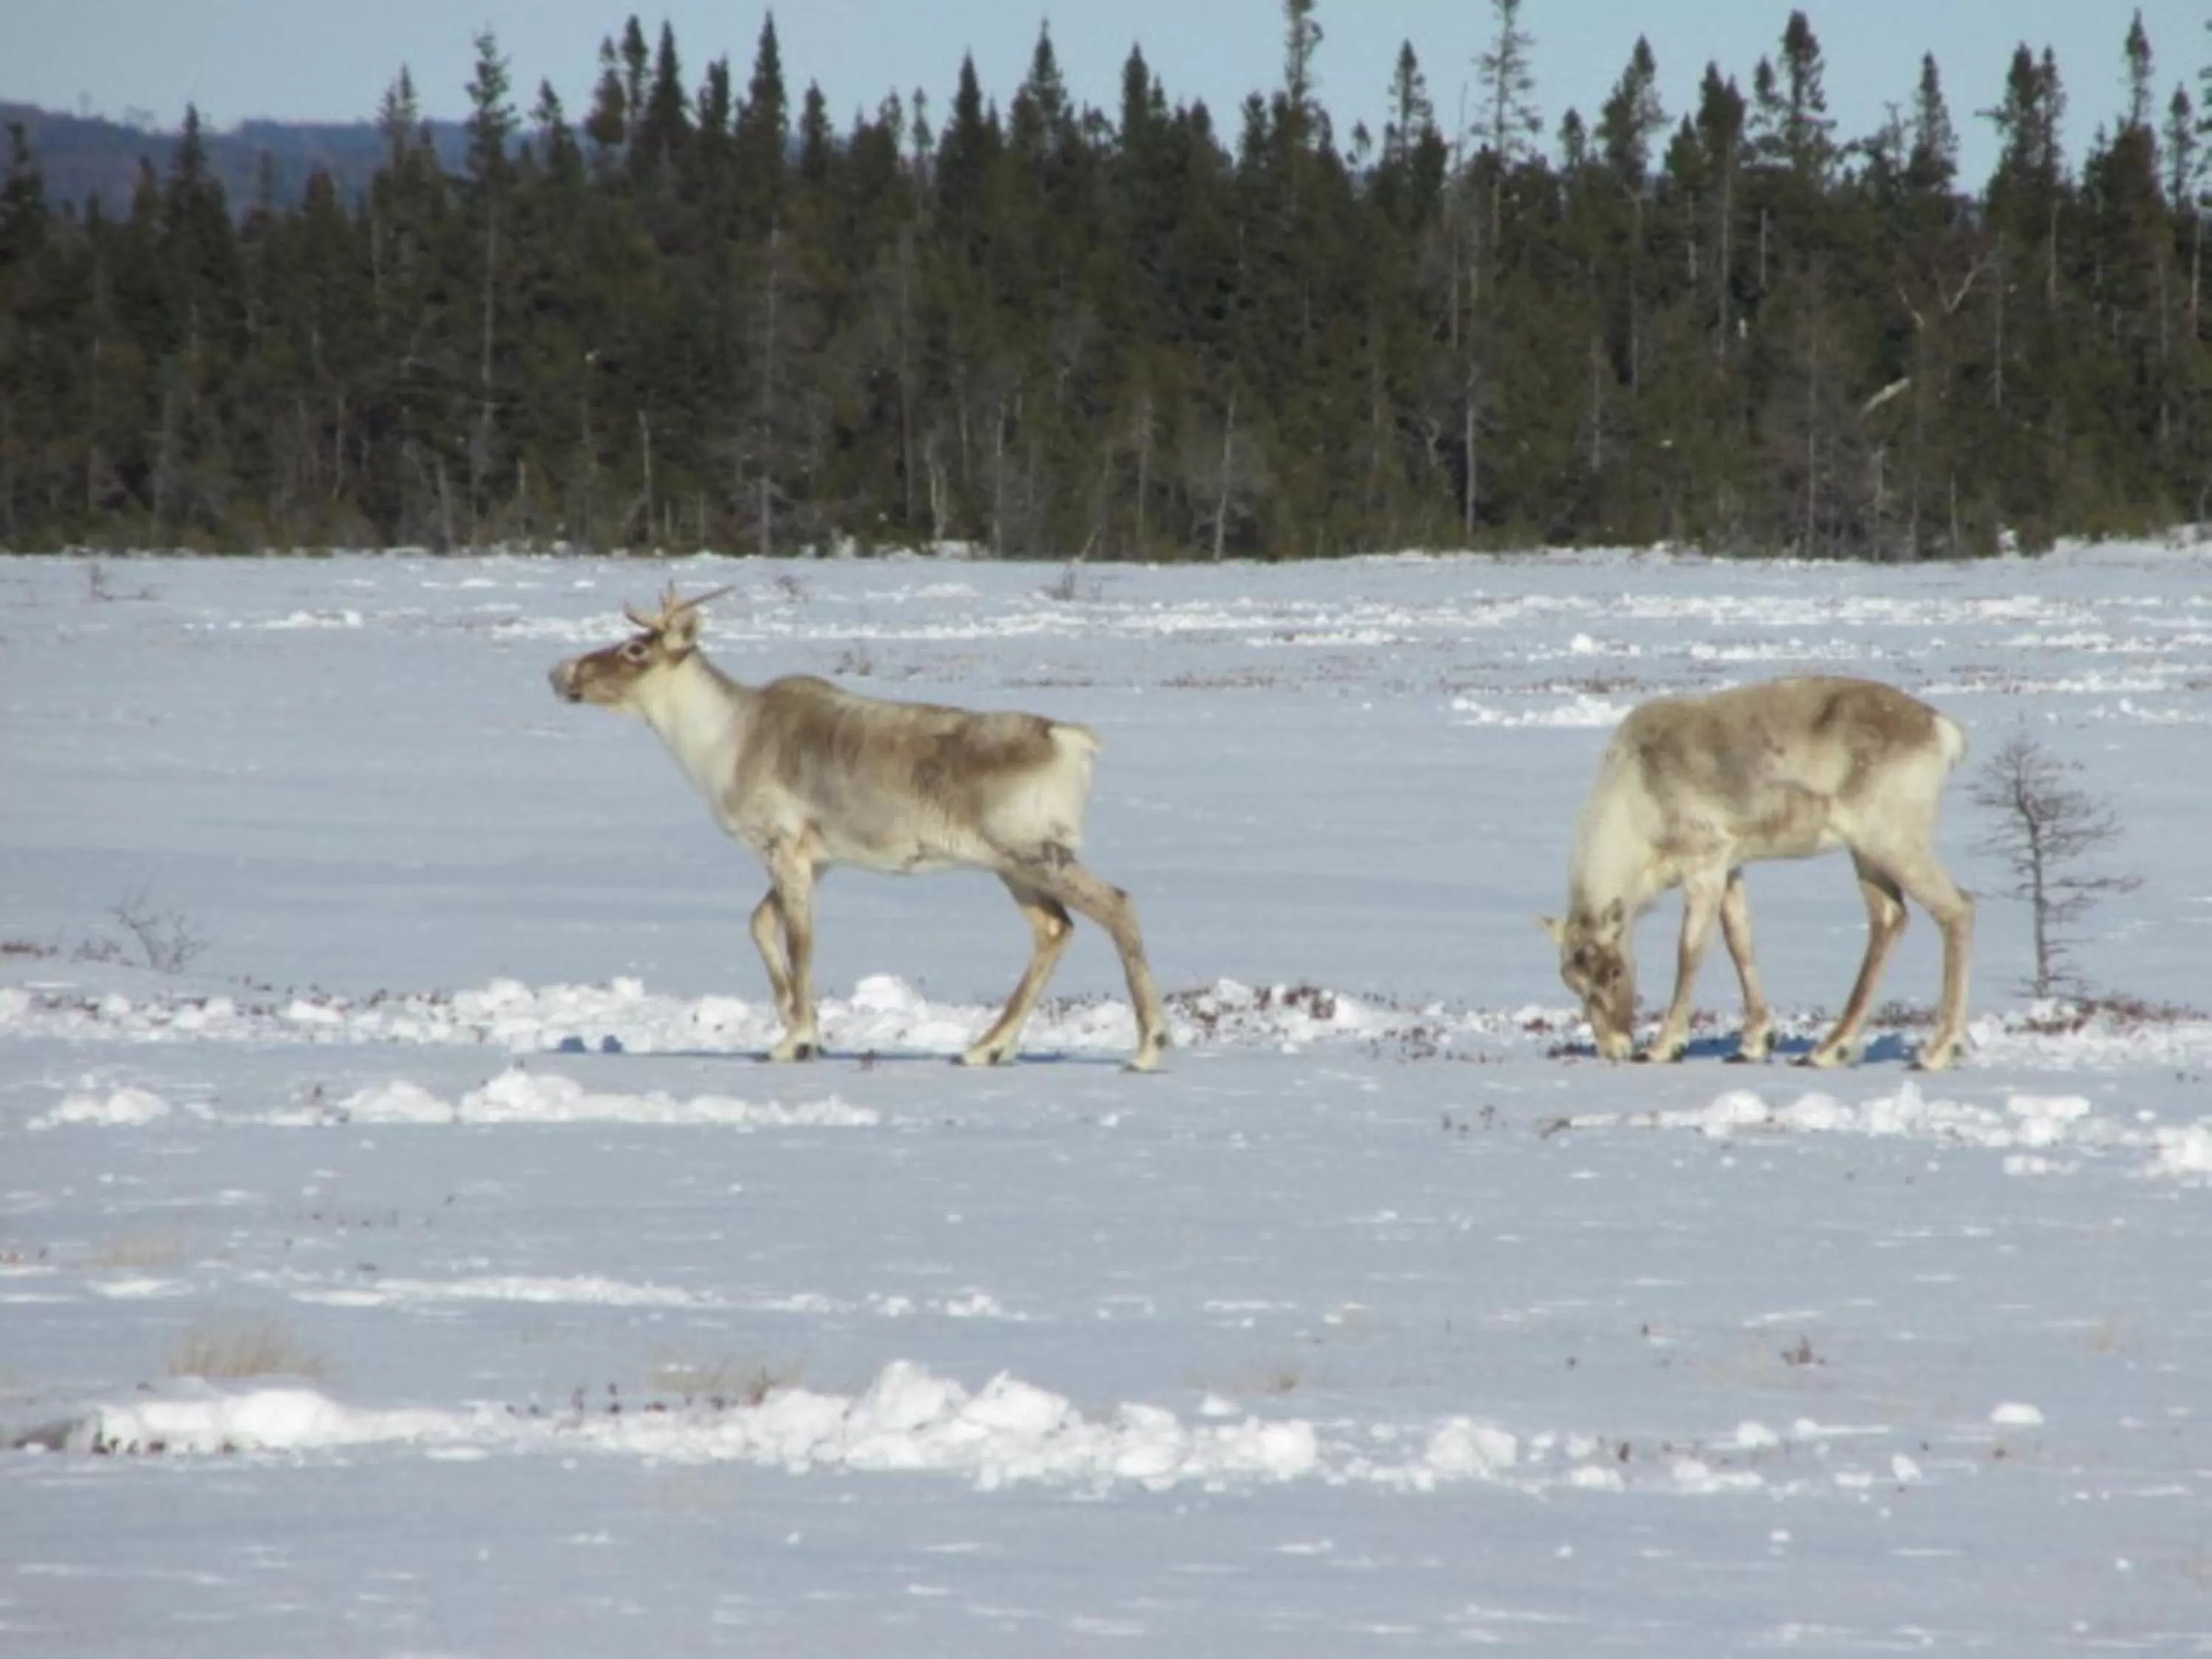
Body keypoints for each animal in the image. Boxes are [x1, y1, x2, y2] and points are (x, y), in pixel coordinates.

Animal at [549, 583, 1169, 1071]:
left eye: (635, 648)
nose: (560, 673)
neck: (719, 742)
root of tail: (1073, 741)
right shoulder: (817, 860)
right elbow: (760, 923)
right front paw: (801, 1025)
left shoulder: (786, 846)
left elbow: (799, 940)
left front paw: (795, 1040)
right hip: (1010, 865)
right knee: (1055, 929)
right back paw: (984, 1048)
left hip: (1034, 851)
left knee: (1116, 905)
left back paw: (1147, 1048)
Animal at [1540, 676, 1974, 1070]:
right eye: (1573, 981)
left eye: (1615, 970)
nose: (1616, 1048)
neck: (1638, 797)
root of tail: (1942, 730)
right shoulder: (1731, 867)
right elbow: (1740, 941)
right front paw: (1754, 1043)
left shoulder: (1705, 863)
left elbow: (1690, 951)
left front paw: (1665, 1046)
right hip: (1867, 851)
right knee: (1889, 917)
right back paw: (1827, 1050)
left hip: (1893, 839)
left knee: (1956, 908)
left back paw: (1937, 1051)